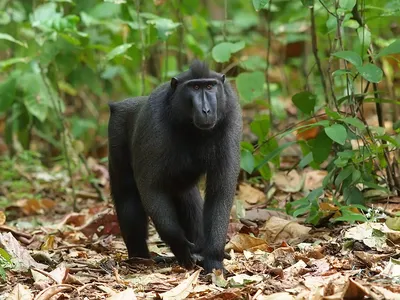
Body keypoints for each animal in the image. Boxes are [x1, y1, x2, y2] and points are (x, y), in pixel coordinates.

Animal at [108, 59, 242, 274]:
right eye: (194, 87)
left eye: (210, 86)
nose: (206, 110)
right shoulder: (153, 121)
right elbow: (151, 188)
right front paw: (179, 245)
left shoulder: (231, 118)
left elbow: (220, 191)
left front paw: (213, 260)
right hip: (116, 131)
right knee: (127, 194)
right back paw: (139, 257)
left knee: (187, 197)